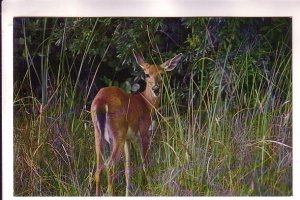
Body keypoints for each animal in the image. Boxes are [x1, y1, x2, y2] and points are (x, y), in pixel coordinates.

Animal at [90, 50, 182, 195]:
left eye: (162, 74)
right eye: (147, 74)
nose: (156, 88)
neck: (146, 103)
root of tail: (100, 102)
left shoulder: (128, 139)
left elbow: (128, 169)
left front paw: (128, 193)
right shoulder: (143, 132)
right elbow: (145, 163)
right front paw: (150, 186)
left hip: (98, 133)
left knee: (98, 169)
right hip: (118, 133)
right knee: (110, 165)